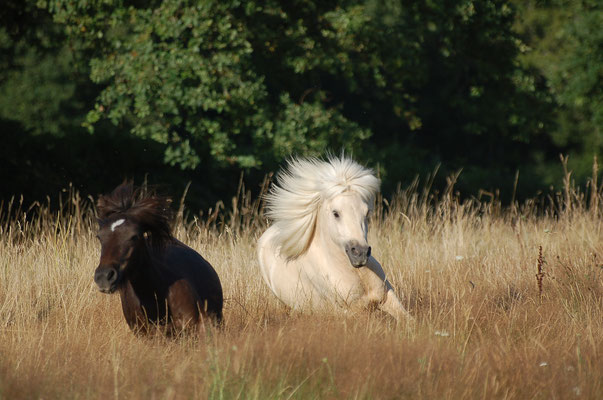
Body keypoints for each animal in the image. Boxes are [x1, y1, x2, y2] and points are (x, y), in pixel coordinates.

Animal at [258, 156, 412, 322]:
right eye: (335, 213)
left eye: (366, 213)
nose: (360, 253)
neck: (357, 275)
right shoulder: (353, 312)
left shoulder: (388, 296)